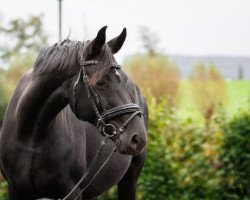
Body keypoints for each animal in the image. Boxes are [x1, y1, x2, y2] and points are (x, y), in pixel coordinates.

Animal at [0, 27, 147, 200]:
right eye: (101, 82)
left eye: (123, 80)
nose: (138, 138)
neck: (31, 137)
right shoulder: (15, 189)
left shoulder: (72, 191)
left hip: (129, 179)